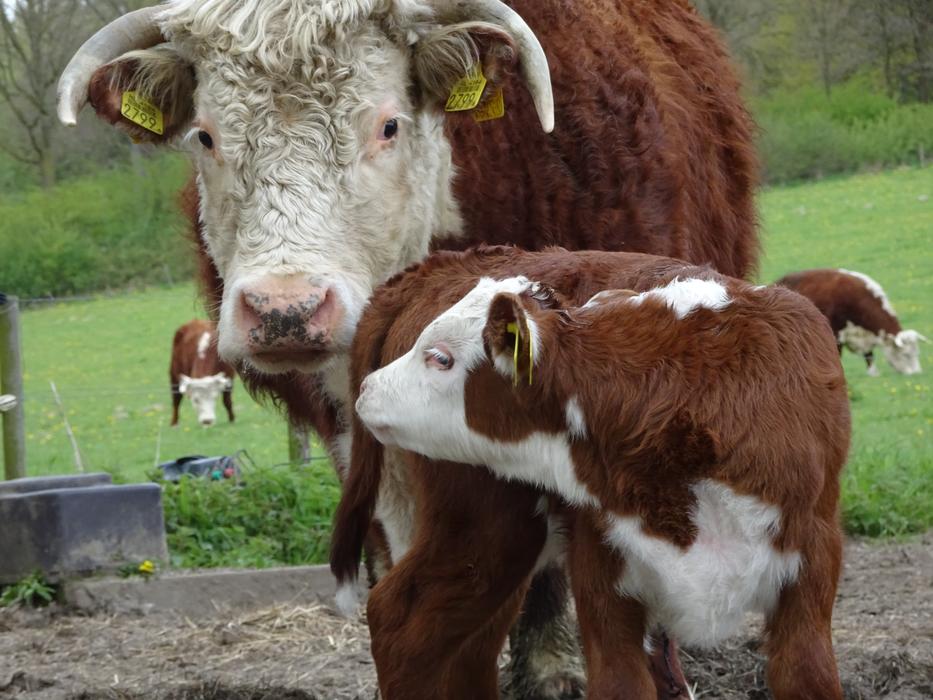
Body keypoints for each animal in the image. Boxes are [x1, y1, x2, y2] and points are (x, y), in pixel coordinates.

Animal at [339, 246, 850, 700]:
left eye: (440, 357)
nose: (369, 390)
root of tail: (431, 267)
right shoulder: (602, 568)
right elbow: (621, 684)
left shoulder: (813, 556)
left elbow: (807, 675)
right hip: (480, 529)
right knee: (402, 624)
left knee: (470, 647)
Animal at [776, 268, 927, 376]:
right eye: (906, 354)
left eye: (917, 353)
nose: (916, 374)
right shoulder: (836, 333)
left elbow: (869, 355)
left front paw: (873, 373)